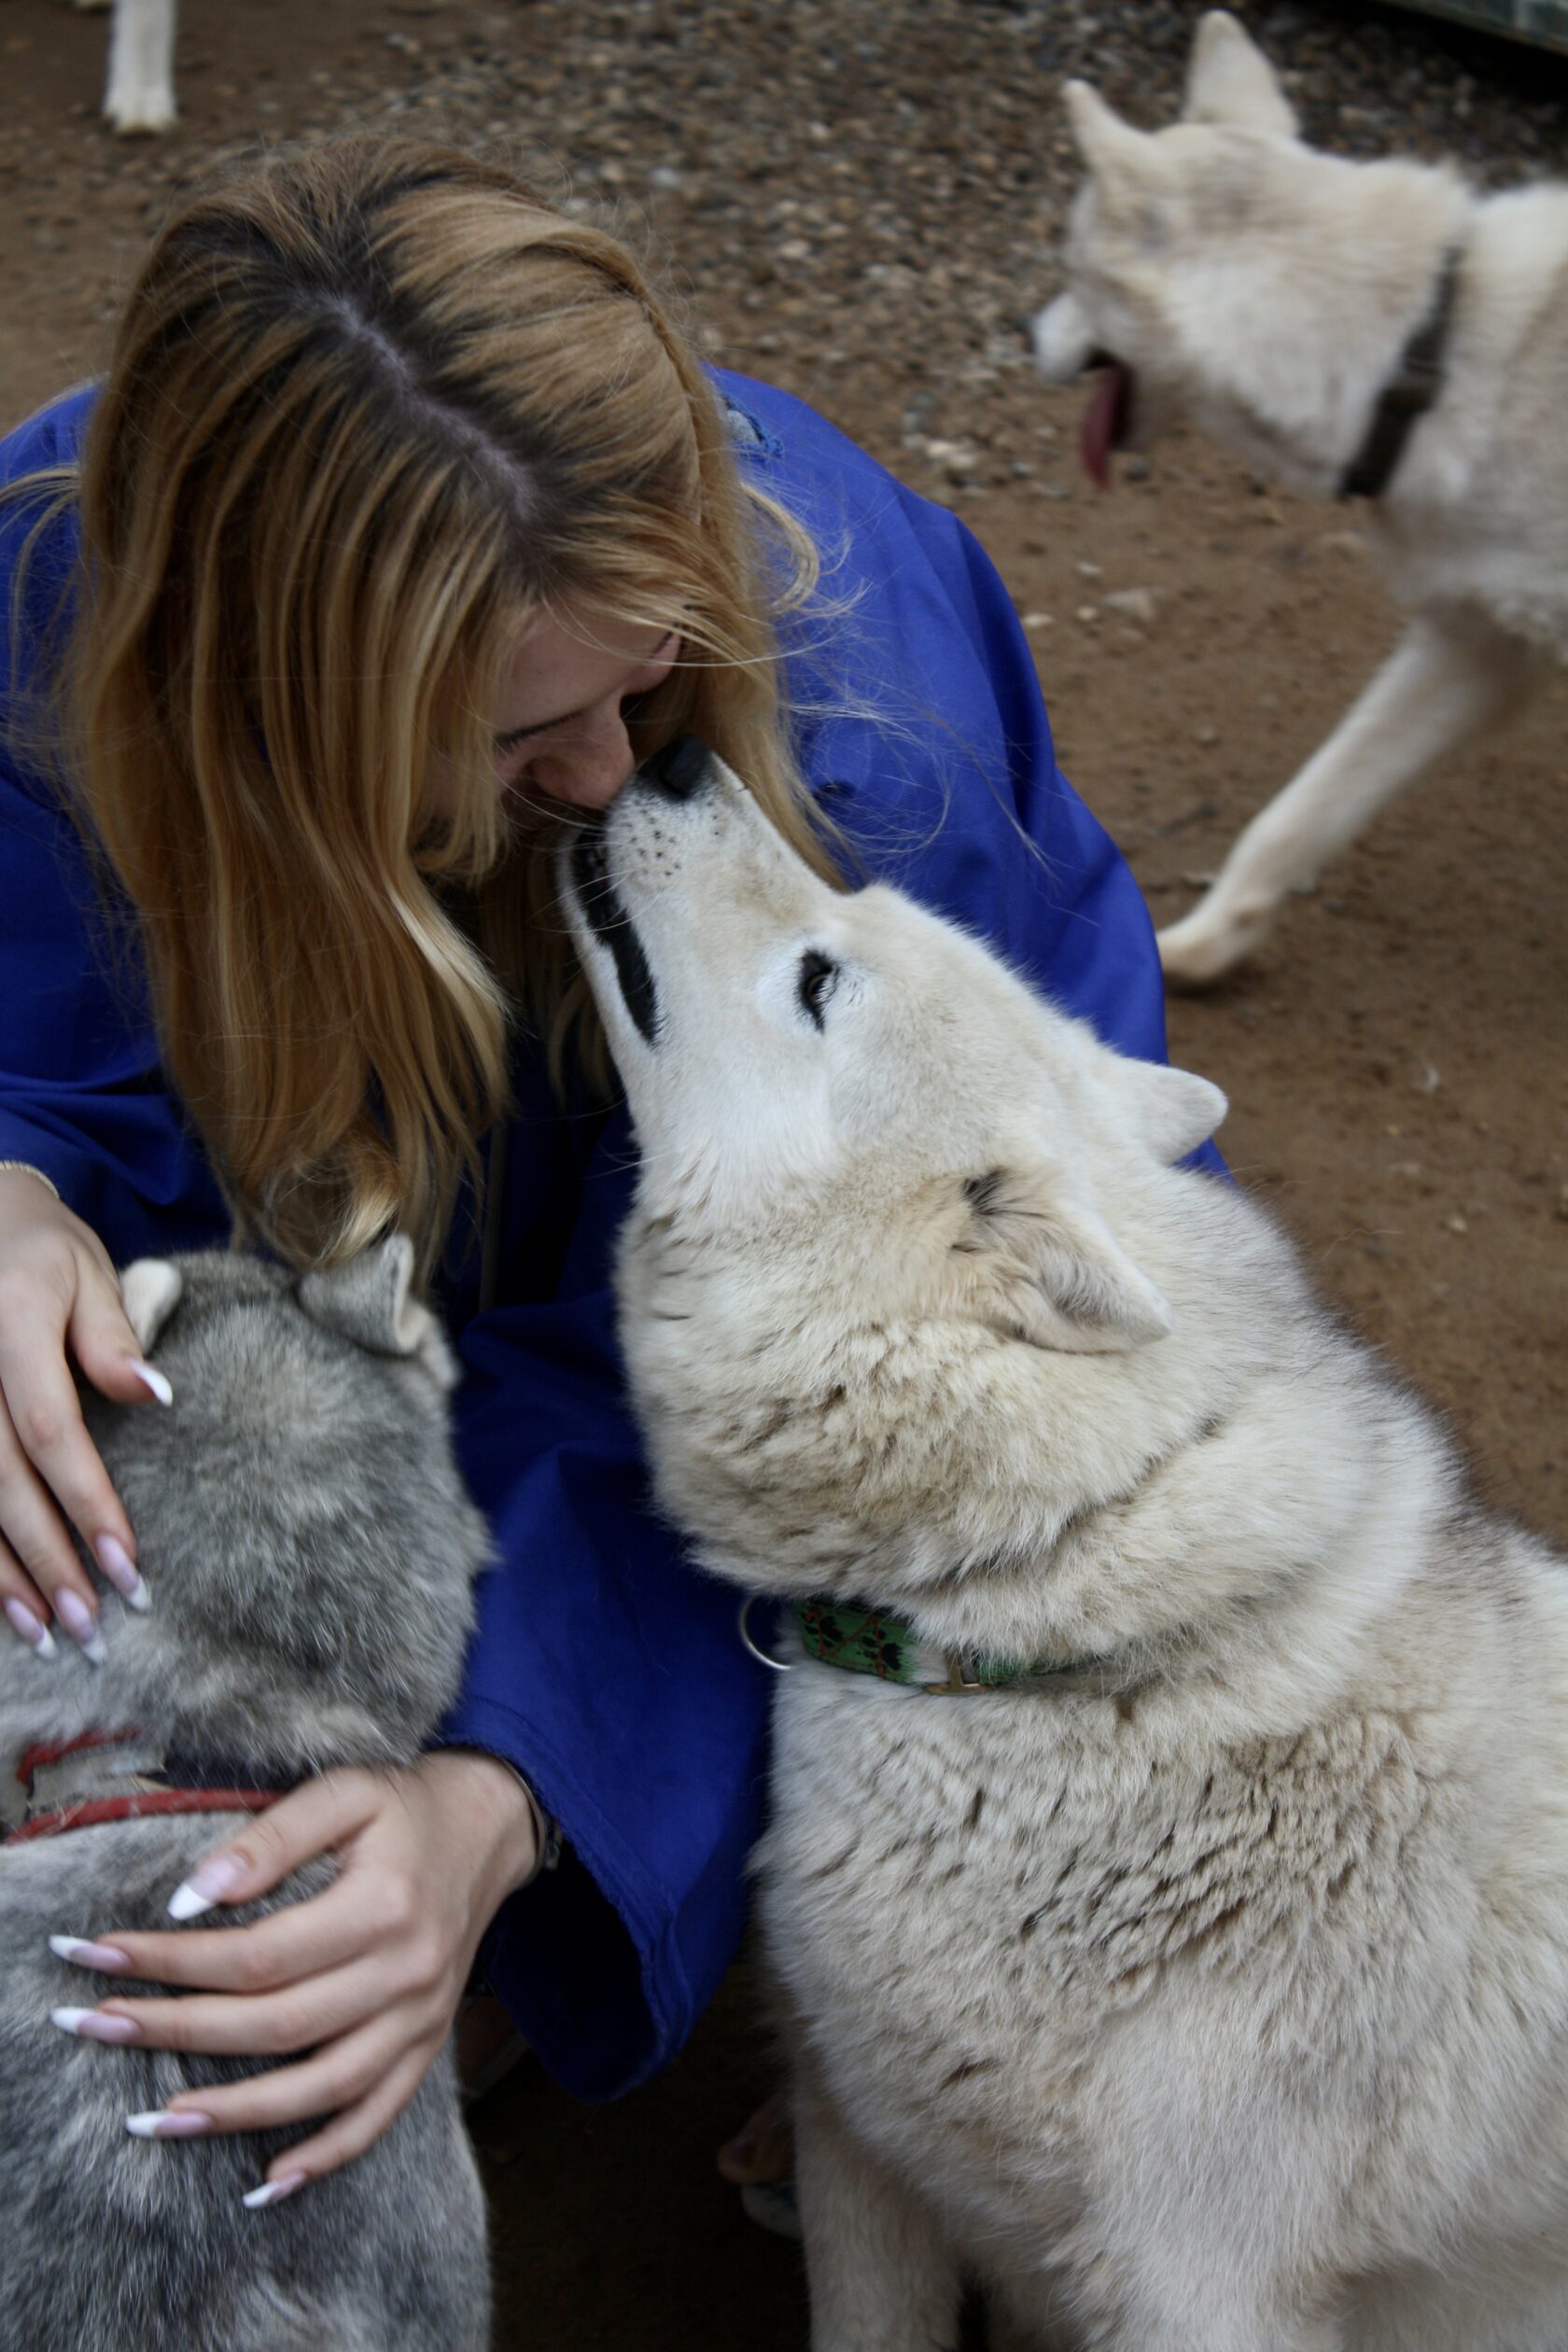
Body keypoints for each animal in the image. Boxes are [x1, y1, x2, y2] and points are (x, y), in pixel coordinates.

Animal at [1034, 11, 1561, 983]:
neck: (1427, 356)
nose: (1025, 337)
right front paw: (1201, 947)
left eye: (1069, 266)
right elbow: (1296, 814)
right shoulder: (1480, 646)